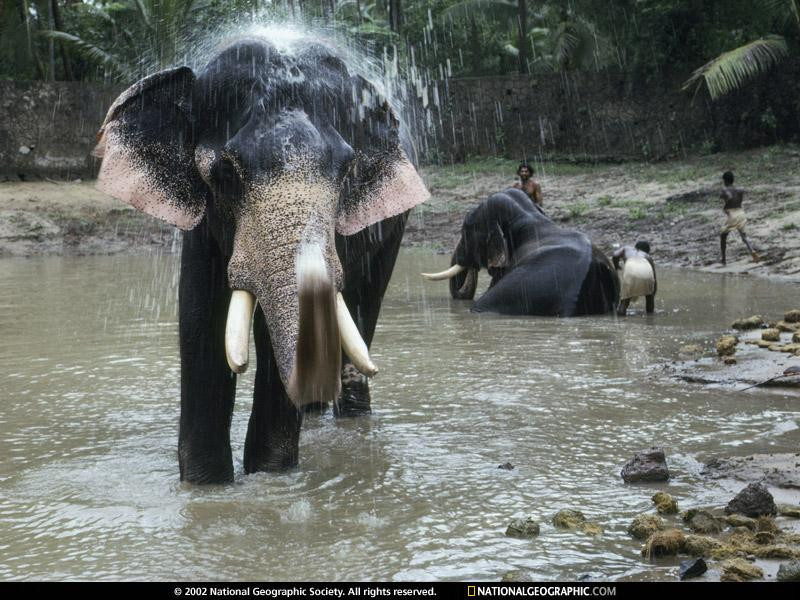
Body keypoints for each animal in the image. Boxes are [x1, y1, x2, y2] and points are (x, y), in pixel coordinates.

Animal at [92, 34, 432, 482]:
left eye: (347, 171)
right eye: (226, 172)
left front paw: (271, 478)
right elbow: (200, 315)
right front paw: (207, 486)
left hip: (390, 230)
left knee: (363, 304)